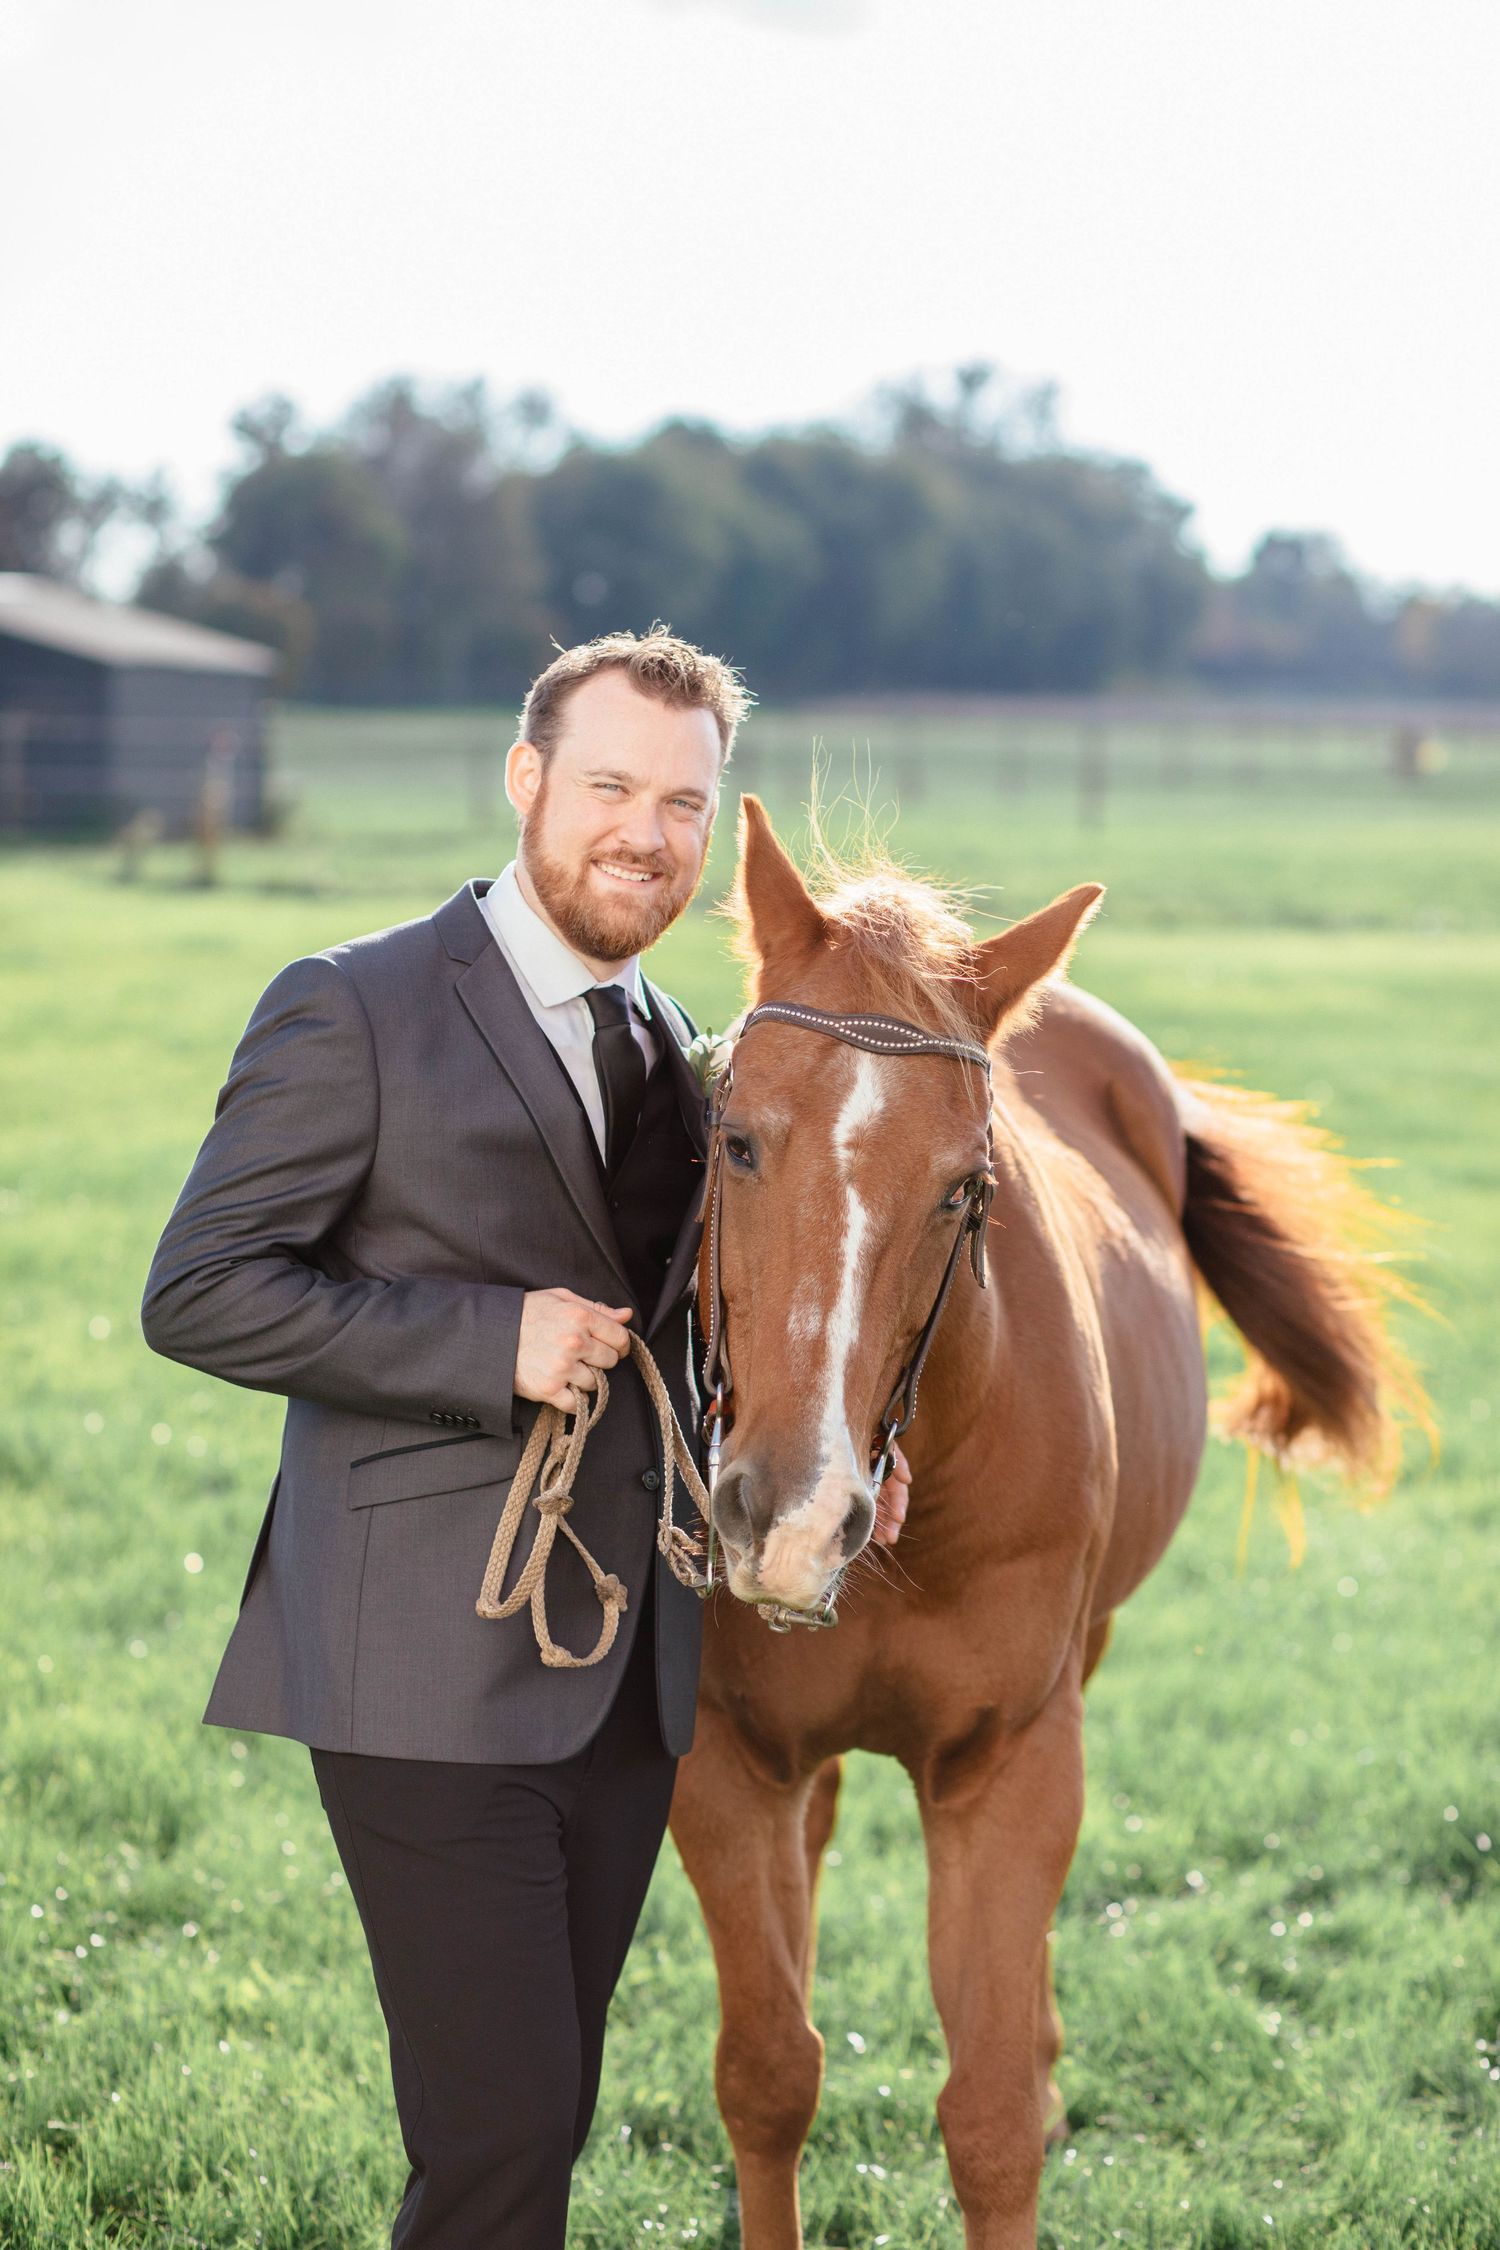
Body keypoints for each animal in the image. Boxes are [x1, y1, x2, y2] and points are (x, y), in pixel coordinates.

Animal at [667, 796, 1426, 2250]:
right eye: (733, 1137)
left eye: (967, 1188)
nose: (790, 1511)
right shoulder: (726, 1757)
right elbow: (767, 2074)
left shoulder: (1011, 1761)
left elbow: (990, 2120)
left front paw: (1027, 2079)